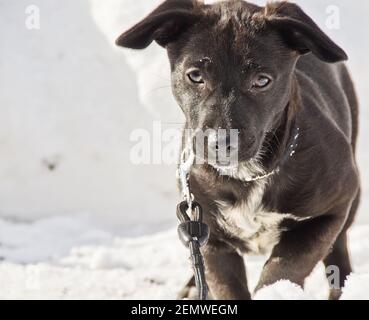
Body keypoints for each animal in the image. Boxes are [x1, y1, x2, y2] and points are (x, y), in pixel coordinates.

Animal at [115, 0, 360, 300]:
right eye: (195, 76)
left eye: (262, 80)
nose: (221, 141)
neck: (248, 175)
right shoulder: (208, 232)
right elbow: (224, 283)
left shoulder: (333, 209)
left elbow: (287, 266)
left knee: (338, 254)